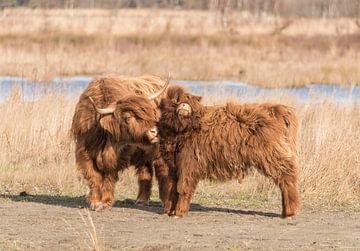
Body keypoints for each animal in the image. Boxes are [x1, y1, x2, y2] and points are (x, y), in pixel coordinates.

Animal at [72, 75, 170, 212]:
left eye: (151, 113)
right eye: (128, 118)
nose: (155, 132)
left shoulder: (118, 157)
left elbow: (109, 177)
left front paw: (106, 202)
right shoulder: (84, 154)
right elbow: (94, 177)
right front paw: (95, 203)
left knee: (163, 172)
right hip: (143, 154)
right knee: (145, 172)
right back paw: (141, 200)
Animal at [159, 86, 300, 218]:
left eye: (186, 100)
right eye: (173, 101)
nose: (183, 107)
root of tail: (276, 109)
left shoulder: (188, 164)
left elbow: (183, 187)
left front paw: (178, 212)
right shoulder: (172, 165)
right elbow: (171, 188)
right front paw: (168, 211)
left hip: (272, 155)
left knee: (287, 178)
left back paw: (289, 213)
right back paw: (285, 212)